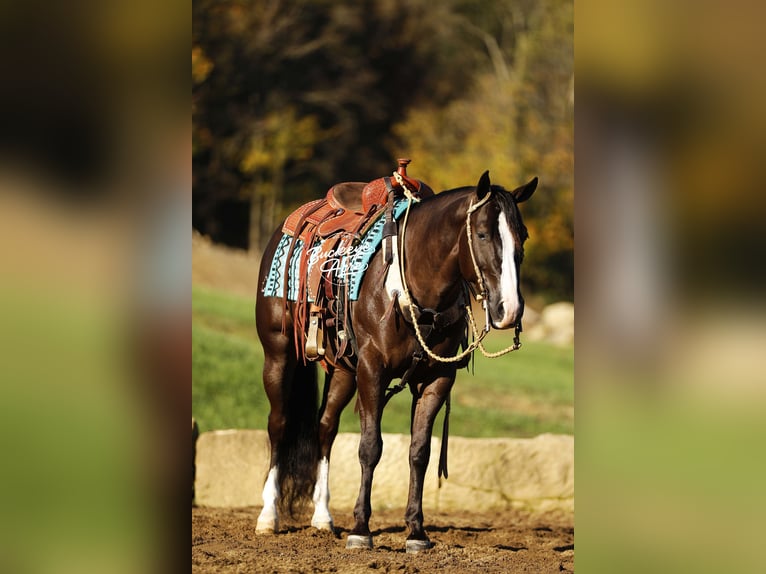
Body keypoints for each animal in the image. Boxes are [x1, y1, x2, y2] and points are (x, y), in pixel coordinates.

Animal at [254, 169, 537, 552]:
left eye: (522, 235)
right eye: (481, 233)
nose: (510, 310)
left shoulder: (437, 379)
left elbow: (420, 452)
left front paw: (416, 532)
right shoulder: (373, 370)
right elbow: (370, 447)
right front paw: (361, 529)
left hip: (343, 371)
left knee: (325, 427)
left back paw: (323, 517)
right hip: (279, 353)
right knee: (279, 424)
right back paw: (268, 516)